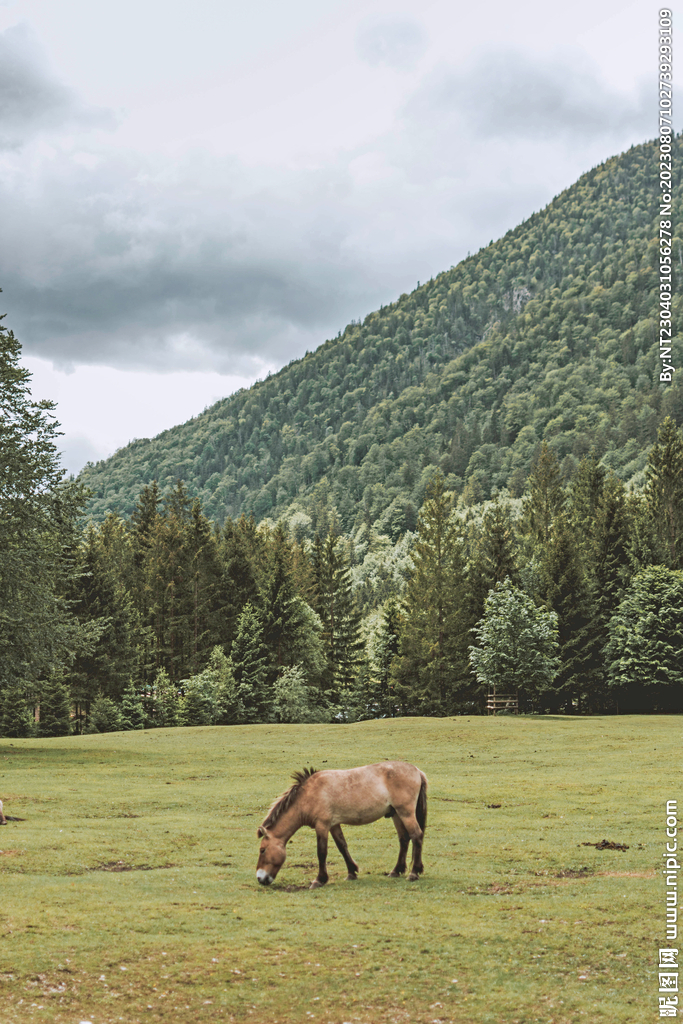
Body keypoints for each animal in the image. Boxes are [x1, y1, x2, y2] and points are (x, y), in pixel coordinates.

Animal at [255, 761, 427, 890]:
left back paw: (414, 873)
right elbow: (342, 846)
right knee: (404, 839)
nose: (260, 878)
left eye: (262, 850)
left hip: (405, 813)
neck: (309, 795)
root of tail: (417, 771)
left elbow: (322, 852)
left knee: (416, 836)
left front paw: (319, 880)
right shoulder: (334, 825)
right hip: (396, 814)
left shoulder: (322, 825)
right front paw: (351, 872)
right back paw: (396, 871)